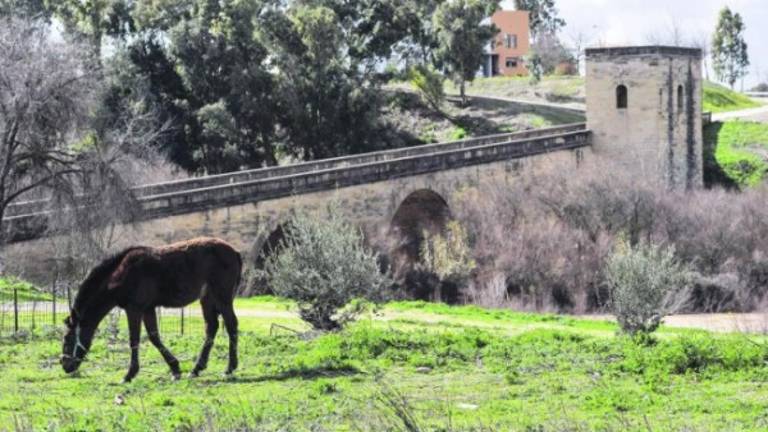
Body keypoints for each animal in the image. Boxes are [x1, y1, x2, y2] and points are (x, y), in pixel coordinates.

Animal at [59, 238, 240, 384]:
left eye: (68, 339)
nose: (65, 365)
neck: (120, 273)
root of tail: (235, 252)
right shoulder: (148, 309)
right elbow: (154, 337)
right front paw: (175, 369)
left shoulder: (134, 309)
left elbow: (134, 340)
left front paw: (129, 374)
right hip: (207, 298)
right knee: (212, 327)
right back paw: (196, 369)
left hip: (222, 297)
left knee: (231, 325)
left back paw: (229, 368)